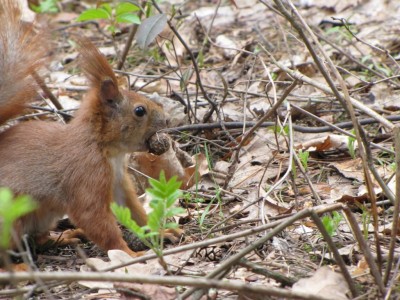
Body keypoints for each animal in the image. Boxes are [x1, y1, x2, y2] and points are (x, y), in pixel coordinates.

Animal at [0, 1, 178, 256]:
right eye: (139, 111)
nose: (168, 120)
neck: (105, 147)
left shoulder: (118, 181)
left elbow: (134, 212)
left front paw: (162, 233)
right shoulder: (86, 174)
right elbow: (95, 219)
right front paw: (131, 254)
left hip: (43, 217)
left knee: (38, 238)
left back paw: (64, 237)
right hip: (11, 215)